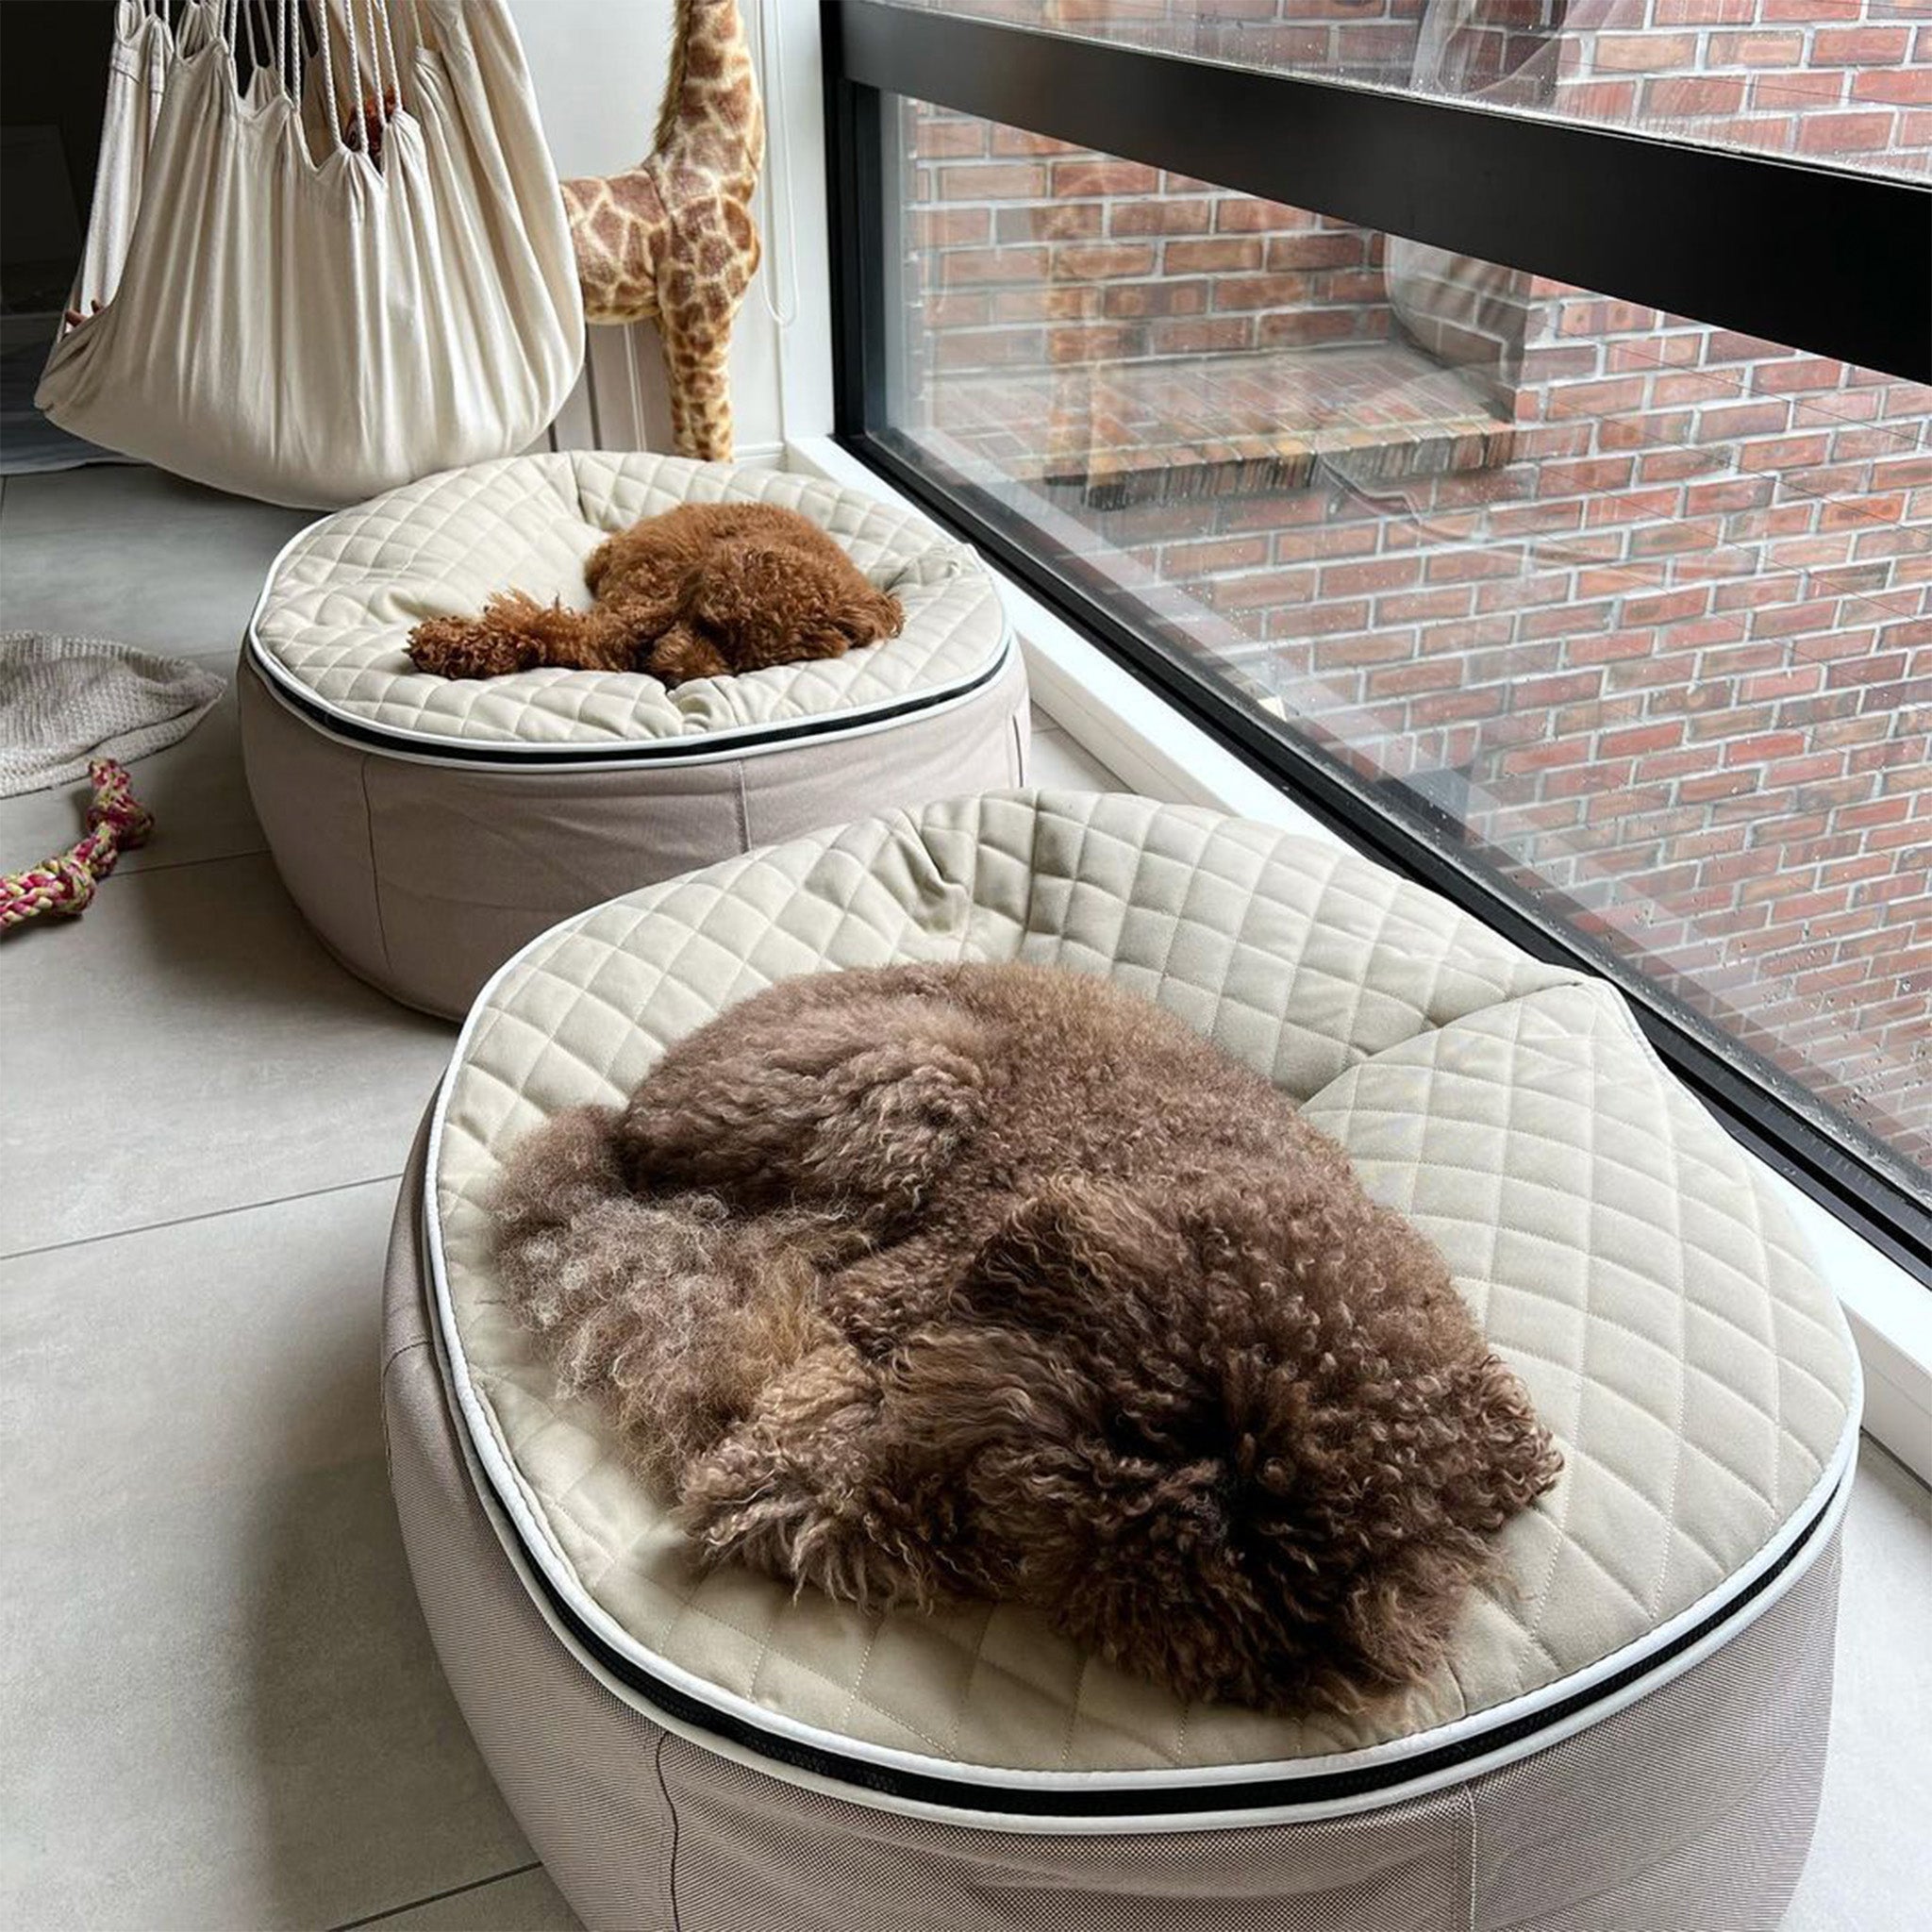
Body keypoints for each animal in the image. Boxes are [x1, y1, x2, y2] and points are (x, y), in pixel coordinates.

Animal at [406, 502, 904, 684]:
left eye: (747, 664)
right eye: (707, 623)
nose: (681, 676)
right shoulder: (629, 619)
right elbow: (540, 627)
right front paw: (444, 645)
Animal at [493, 961, 1560, 1715]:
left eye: (1022, 1544)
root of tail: (638, 1101)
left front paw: (793, 1500)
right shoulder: (893, 1299)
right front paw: (777, 1487)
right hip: (909, 1069)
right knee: (771, 1232)